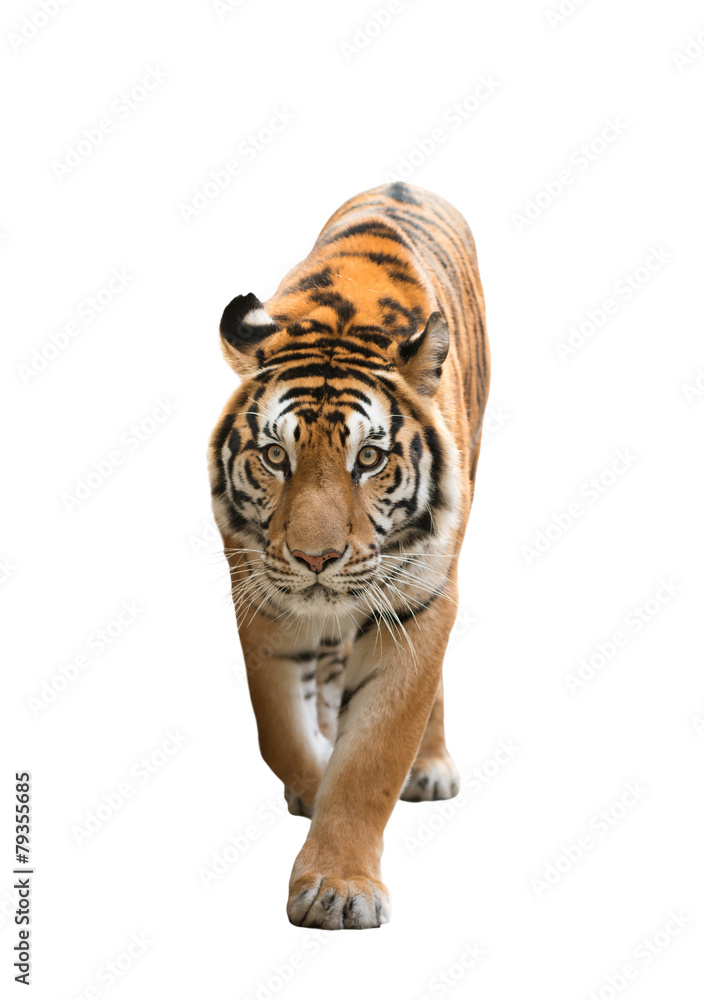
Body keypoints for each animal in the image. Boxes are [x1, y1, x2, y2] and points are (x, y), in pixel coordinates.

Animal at [208, 181, 490, 929]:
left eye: (369, 459)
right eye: (276, 456)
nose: (317, 558)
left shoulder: (418, 602)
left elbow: (371, 761)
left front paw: (338, 887)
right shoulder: (258, 591)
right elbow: (279, 725)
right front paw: (310, 786)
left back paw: (431, 766)